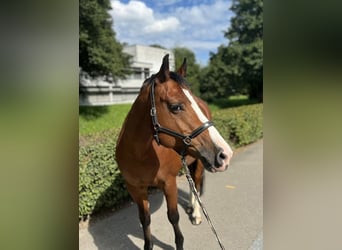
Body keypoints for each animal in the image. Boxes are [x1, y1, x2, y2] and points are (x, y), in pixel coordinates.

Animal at [116, 54, 234, 250]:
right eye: (176, 106)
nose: (225, 154)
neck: (139, 154)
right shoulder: (136, 189)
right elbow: (145, 220)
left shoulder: (169, 184)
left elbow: (173, 217)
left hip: (199, 162)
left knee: (196, 185)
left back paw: (196, 214)